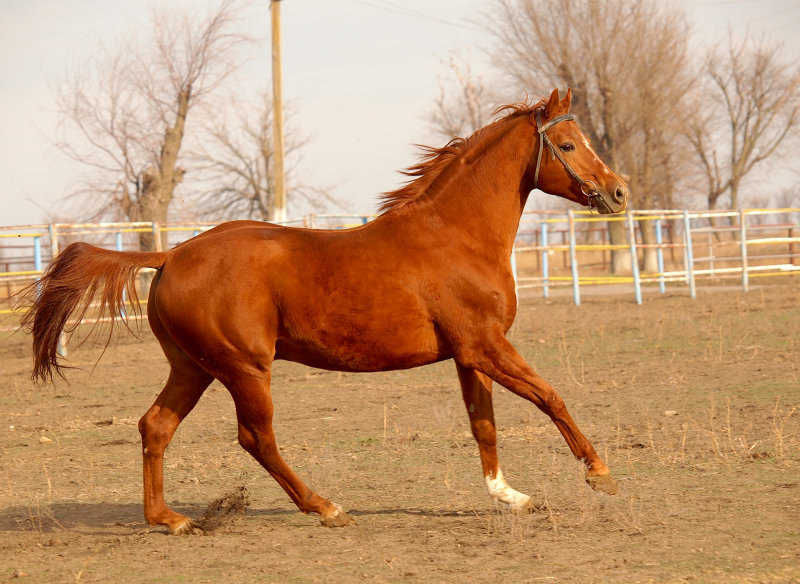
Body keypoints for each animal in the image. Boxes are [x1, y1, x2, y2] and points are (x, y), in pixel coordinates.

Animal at [20, 88, 624, 532]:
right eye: (568, 145)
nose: (618, 193)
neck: (455, 235)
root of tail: (171, 254)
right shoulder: (485, 345)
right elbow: (549, 396)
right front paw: (599, 473)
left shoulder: (468, 354)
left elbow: (484, 424)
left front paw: (510, 496)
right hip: (244, 369)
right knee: (255, 438)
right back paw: (325, 507)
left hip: (193, 368)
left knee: (156, 426)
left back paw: (170, 519)